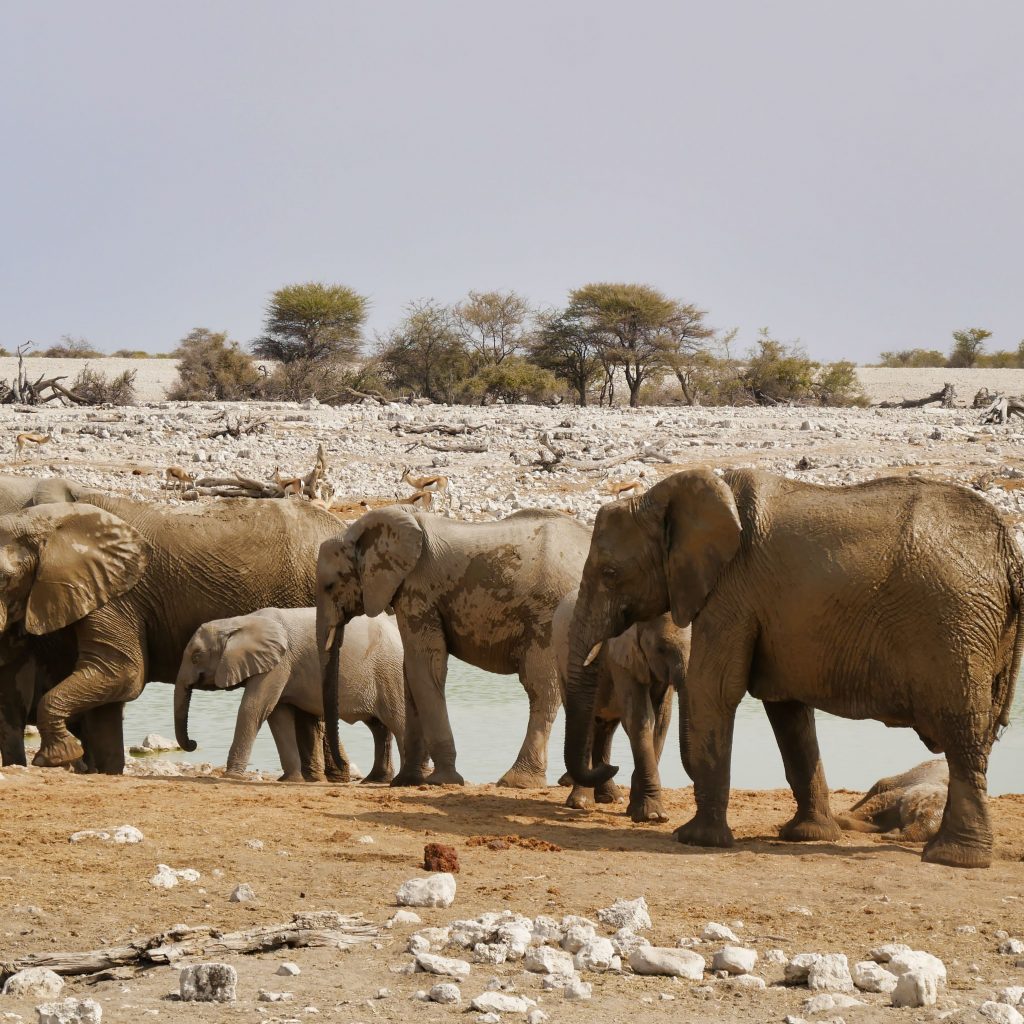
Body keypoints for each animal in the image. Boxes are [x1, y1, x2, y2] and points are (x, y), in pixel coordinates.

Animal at [0, 493, 344, 773]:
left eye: (4, 579)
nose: (192, 744)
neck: (52, 521)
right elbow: (108, 692)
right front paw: (103, 771)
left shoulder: (117, 596)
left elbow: (122, 672)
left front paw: (55, 759)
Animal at [174, 608, 406, 782]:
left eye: (196, 657)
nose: (193, 743)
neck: (238, 622)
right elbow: (278, 716)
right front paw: (290, 779)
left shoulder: (279, 664)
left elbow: (253, 708)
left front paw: (232, 777)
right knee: (379, 727)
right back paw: (376, 780)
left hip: (390, 672)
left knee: (398, 722)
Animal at [317, 506, 591, 788]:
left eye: (329, 585)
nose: (347, 772)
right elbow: (410, 675)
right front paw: (406, 782)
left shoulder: (418, 592)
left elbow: (423, 668)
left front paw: (441, 781)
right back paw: (572, 781)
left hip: (547, 614)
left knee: (541, 689)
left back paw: (517, 781)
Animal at [552, 590, 688, 822]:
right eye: (661, 648)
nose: (614, 767)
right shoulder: (622, 658)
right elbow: (640, 717)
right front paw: (653, 816)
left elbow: (662, 721)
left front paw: (638, 810)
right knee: (588, 722)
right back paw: (581, 802)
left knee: (606, 727)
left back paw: (611, 797)